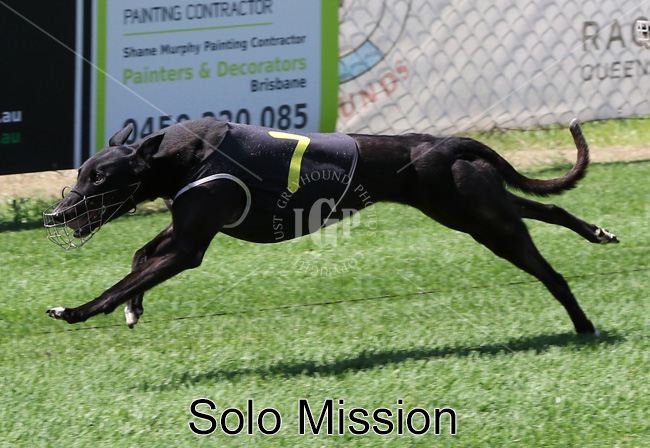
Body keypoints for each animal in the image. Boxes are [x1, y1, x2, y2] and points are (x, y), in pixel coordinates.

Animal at [44, 117, 618, 334]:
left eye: (99, 178)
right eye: (81, 172)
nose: (56, 215)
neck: (177, 155)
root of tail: (447, 143)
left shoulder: (188, 246)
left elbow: (120, 283)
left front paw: (74, 310)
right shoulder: (181, 229)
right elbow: (138, 258)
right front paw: (135, 309)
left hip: (481, 221)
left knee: (550, 272)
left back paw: (584, 325)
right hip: (476, 207)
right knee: (548, 210)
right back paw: (597, 234)